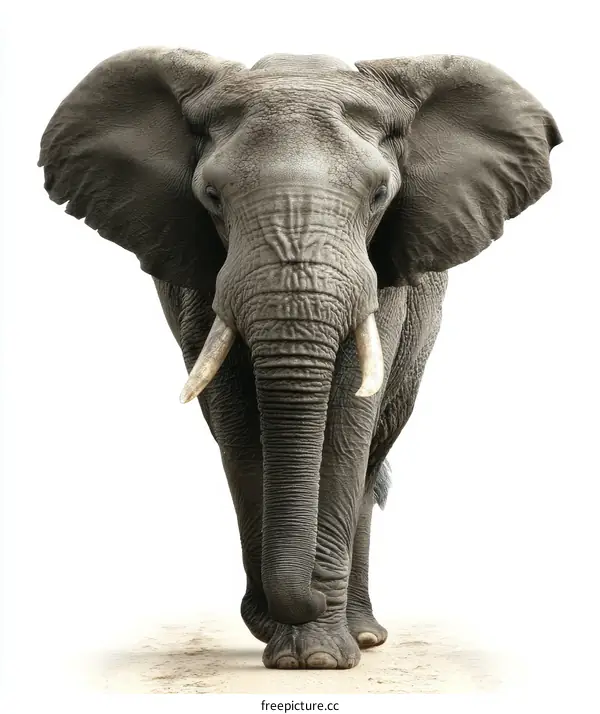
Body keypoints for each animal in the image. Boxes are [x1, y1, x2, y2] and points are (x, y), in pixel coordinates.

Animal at [39, 48, 561, 670]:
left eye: (380, 195)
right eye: (211, 197)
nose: (299, 593)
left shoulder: (381, 281)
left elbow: (346, 420)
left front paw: (318, 659)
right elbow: (238, 424)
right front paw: (285, 642)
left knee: (371, 458)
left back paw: (363, 637)